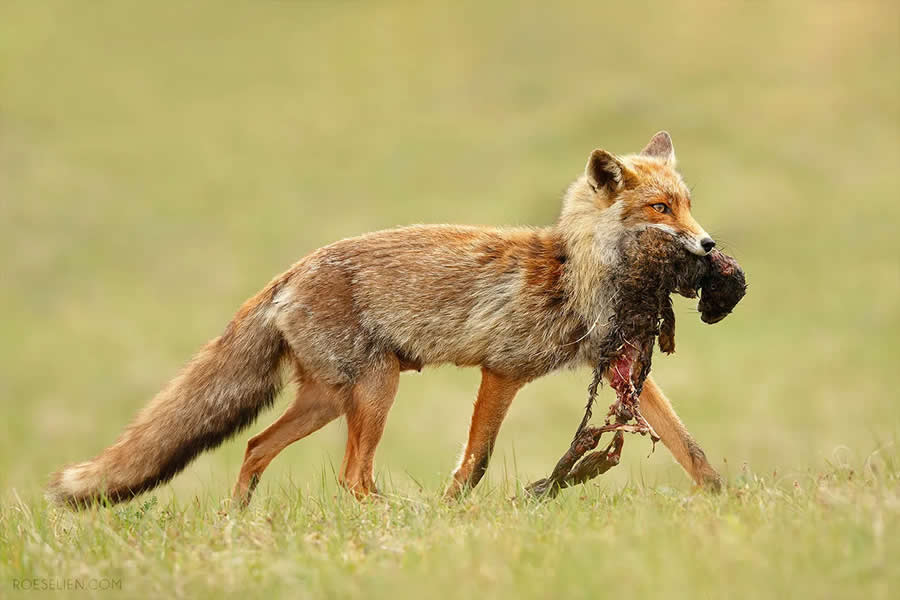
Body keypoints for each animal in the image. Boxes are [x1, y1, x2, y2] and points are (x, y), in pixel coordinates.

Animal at [48, 131, 723, 508]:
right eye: (660, 209)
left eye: (689, 205)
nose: (710, 245)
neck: (577, 274)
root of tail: (289, 273)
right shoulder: (502, 371)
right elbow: (474, 463)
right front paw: (453, 513)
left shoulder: (621, 369)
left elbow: (690, 447)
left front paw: (725, 503)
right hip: (376, 388)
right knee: (352, 477)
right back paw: (396, 518)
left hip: (329, 399)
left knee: (256, 446)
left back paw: (235, 523)